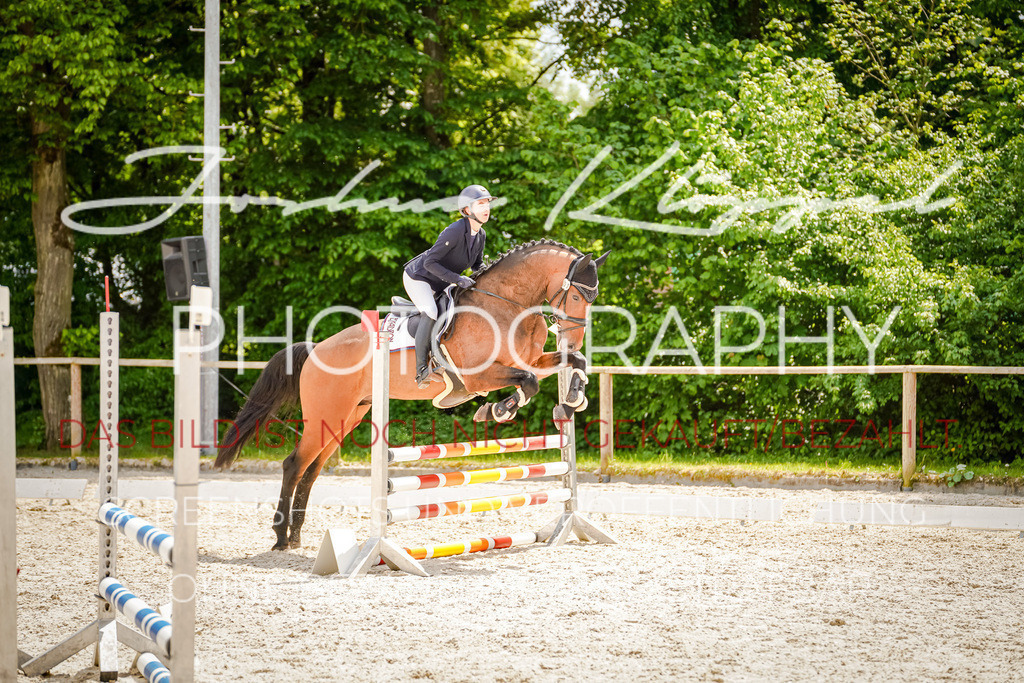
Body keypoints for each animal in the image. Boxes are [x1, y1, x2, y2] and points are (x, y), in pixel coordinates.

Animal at [215, 240, 606, 548]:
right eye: (575, 295)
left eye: (593, 298)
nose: (572, 338)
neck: (507, 304)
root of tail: (314, 350)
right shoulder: (478, 376)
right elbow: (528, 383)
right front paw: (496, 411)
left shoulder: (533, 360)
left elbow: (573, 364)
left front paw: (571, 402)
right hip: (326, 415)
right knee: (295, 465)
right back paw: (281, 538)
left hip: (346, 417)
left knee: (311, 469)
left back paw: (296, 536)